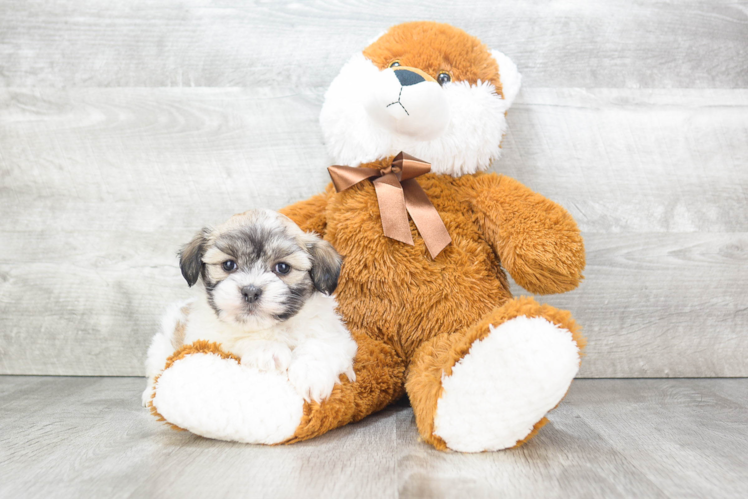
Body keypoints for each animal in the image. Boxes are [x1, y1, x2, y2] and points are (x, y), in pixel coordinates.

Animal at [145, 207, 360, 406]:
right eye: (229, 265)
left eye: (283, 268)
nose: (251, 291)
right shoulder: (206, 338)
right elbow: (236, 339)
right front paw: (268, 350)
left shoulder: (335, 334)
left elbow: (320, 345)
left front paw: (311, 376)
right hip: (161, 346)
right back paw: (149, 395)